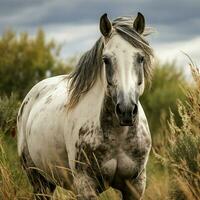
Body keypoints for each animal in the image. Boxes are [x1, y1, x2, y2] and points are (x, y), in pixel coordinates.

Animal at [17, 11, 153, 199]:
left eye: (140, 58)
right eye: (106, 60)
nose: (126, 111)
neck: (118, 136)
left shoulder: (135, 186)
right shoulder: (86, 184)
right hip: (37, 180)